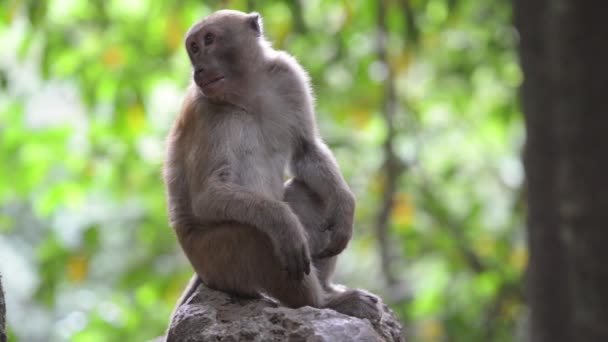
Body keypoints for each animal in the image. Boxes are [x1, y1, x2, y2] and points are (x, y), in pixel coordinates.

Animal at [162, 9, 380, 326]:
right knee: (259, 235)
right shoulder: (205, 111)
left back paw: (328, 289)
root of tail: (200, 271)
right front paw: (285, 223)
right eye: (193, 47)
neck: (246, 90)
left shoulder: (289, 76)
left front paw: (346, 206)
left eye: (209, 40)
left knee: (310, 192)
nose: (198, 69)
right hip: (216, 259)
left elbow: (305, 149)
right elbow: (208, 194)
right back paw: (324, 302)